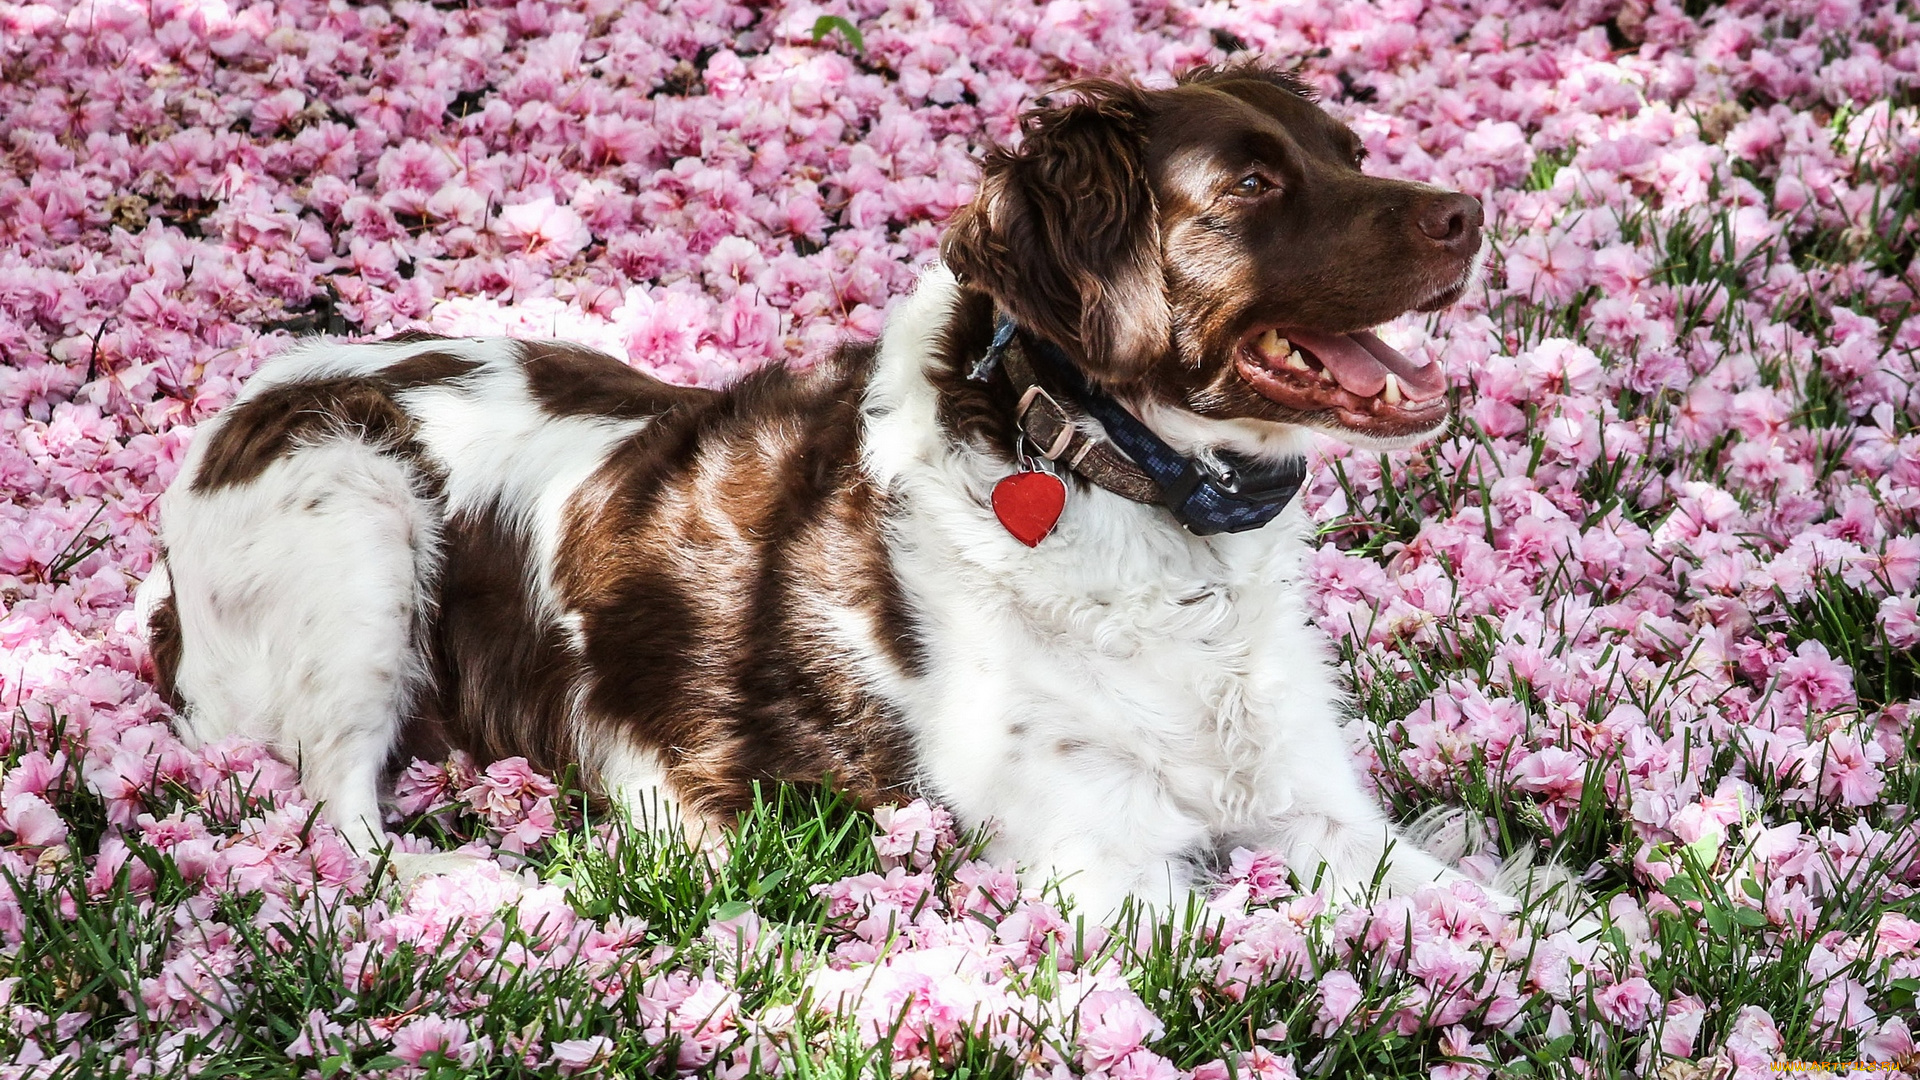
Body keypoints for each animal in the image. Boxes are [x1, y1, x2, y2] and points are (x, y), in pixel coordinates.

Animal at [142, 62, 1489, 910]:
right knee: (336, 816)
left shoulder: (1316, 810)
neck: (1121, 494)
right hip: (354, 502)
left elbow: (1502, 924)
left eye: (1349, 152)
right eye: (1253, 186)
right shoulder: (1108, 861)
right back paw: (476, 883)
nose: (1470, 210)